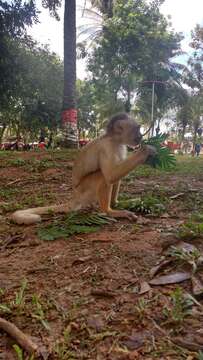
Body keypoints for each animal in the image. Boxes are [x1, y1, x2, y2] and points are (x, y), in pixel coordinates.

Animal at [11, 112, 156, 225]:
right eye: (137, 129)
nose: (141, 136)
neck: (114, 140)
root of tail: (75, 196)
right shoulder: (107, 147)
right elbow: (110, 175)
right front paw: (146, 151)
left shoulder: (121, 147)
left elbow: (115, 174)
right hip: (84, 191)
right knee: (103, 176)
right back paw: (109, 211)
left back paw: (114, 204)